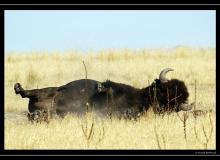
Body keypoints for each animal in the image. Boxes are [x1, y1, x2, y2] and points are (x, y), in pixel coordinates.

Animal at [14, 67, 192, 121]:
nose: (161, 107)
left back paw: (36, 115)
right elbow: (108, 87)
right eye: (162, 90)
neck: (141, 98)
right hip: (48, 90)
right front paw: (100, 87)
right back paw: (18, 88)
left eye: (174, 102)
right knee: (27, 93)